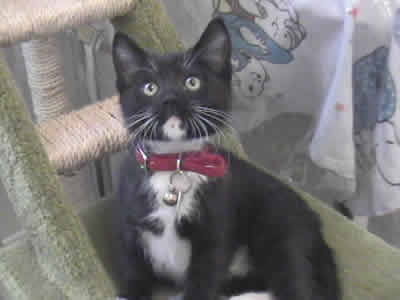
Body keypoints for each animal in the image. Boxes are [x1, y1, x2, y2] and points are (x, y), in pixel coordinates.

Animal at [111, 18, 340, 300]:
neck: (175, 165)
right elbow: (132, 273)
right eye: (150, 88)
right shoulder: (128, 228)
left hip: (284, 229)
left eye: (192, 82)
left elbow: (204, 279)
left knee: (296, 283)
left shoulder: (217, 229)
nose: (170, 99)